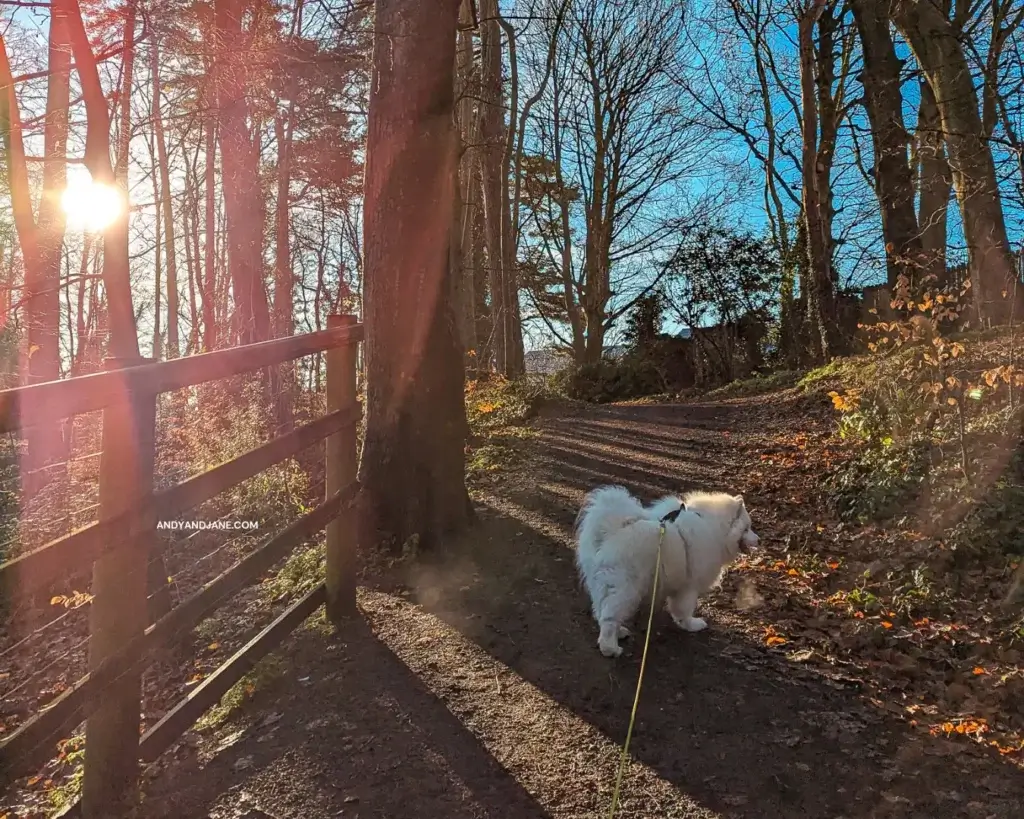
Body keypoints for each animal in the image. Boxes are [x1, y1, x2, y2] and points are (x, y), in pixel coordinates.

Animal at [577, 487, 761, 659]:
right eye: (747, 528)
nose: (759, 540)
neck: (713, 527)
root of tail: (609, 532)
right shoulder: (689, 587)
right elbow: (684, 609)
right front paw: (691, 625)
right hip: (625, 588)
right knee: (609, 618)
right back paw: (610, 648)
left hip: (605, 586)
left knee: (602, 611)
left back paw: (620, 631)